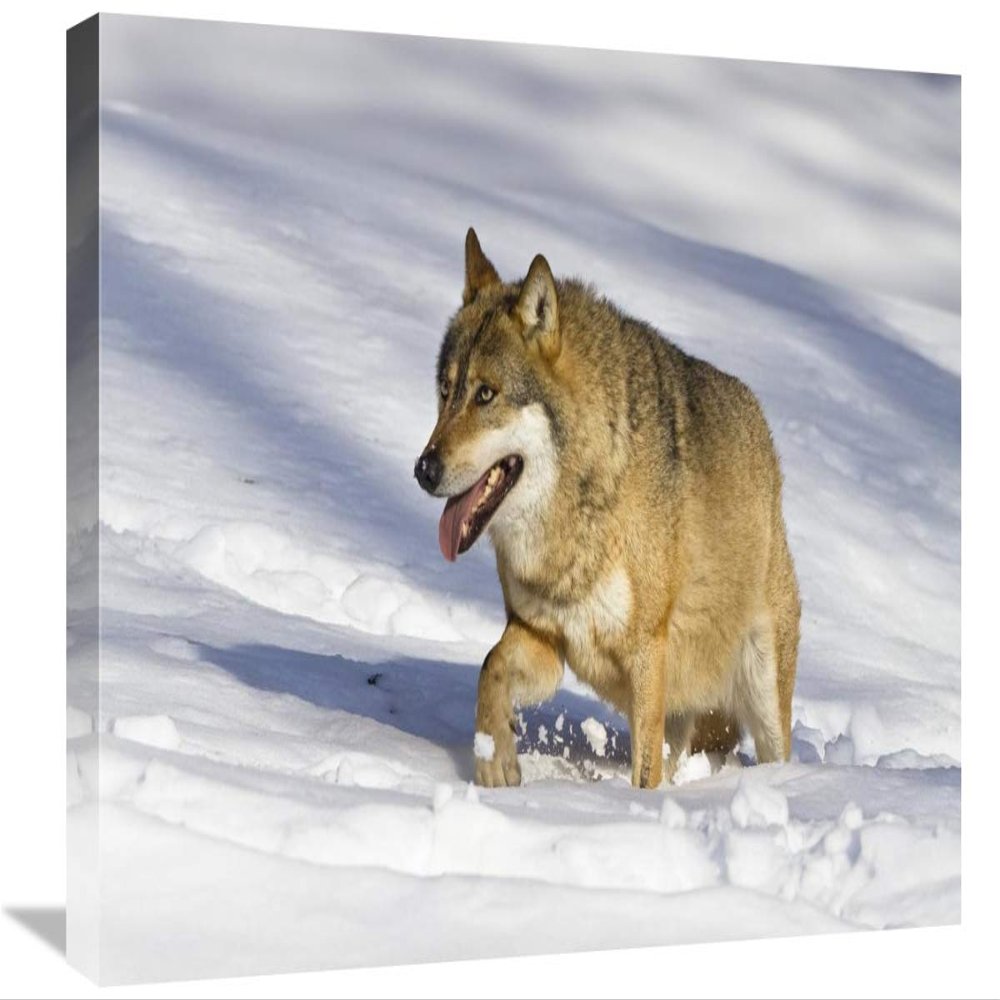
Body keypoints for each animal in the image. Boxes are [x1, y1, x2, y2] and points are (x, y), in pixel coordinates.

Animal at [414, 228, 800, 789]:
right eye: (445, 392)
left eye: (486, 395)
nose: (423, 470)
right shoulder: (541, 635)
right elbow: (489, 667)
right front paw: (495, 762)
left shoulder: (646, 651)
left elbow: (644, 774)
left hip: (761, 692)